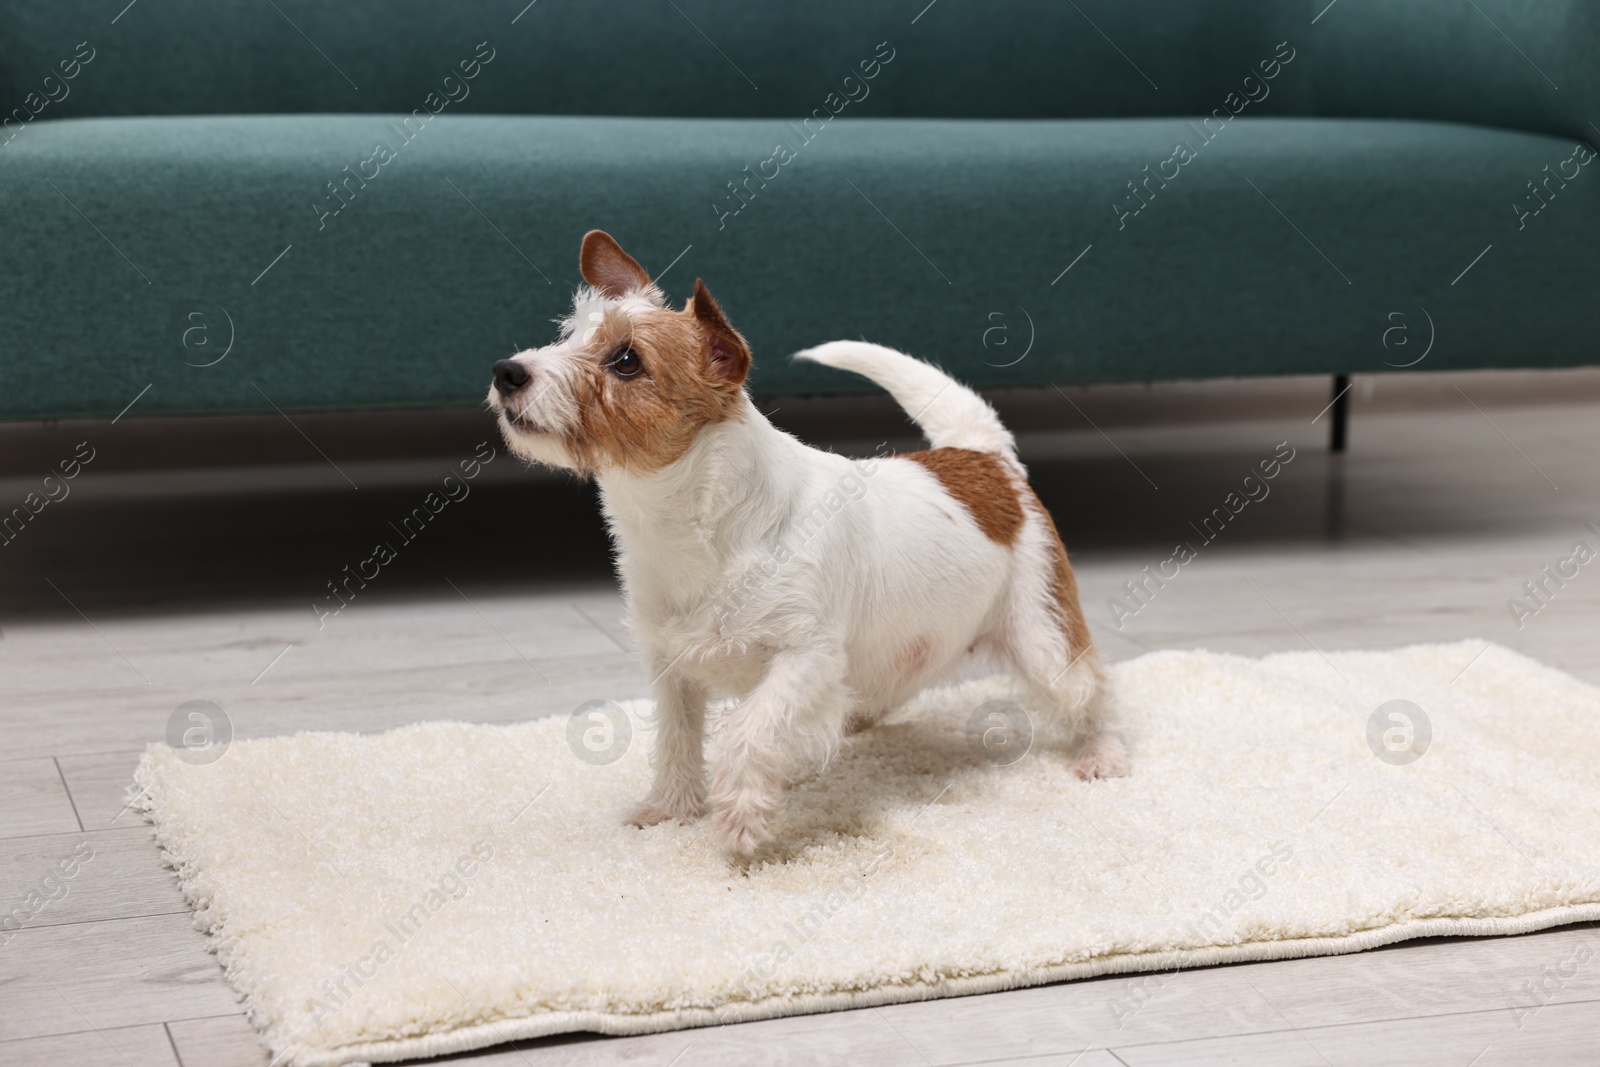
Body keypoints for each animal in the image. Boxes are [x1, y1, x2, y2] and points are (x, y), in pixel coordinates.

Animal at [486, 230, 1126, 857]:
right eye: (567, 335)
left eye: (626, 361)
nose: (506, 370)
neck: (694, 526)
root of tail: (982, 457)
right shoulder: (672, 669)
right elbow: (676, 740)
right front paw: (670, 808)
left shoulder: (807, 657)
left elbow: (751, 726)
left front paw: (741, 814)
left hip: (1043, 638)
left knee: (1093, 689)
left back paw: (1102, 755)